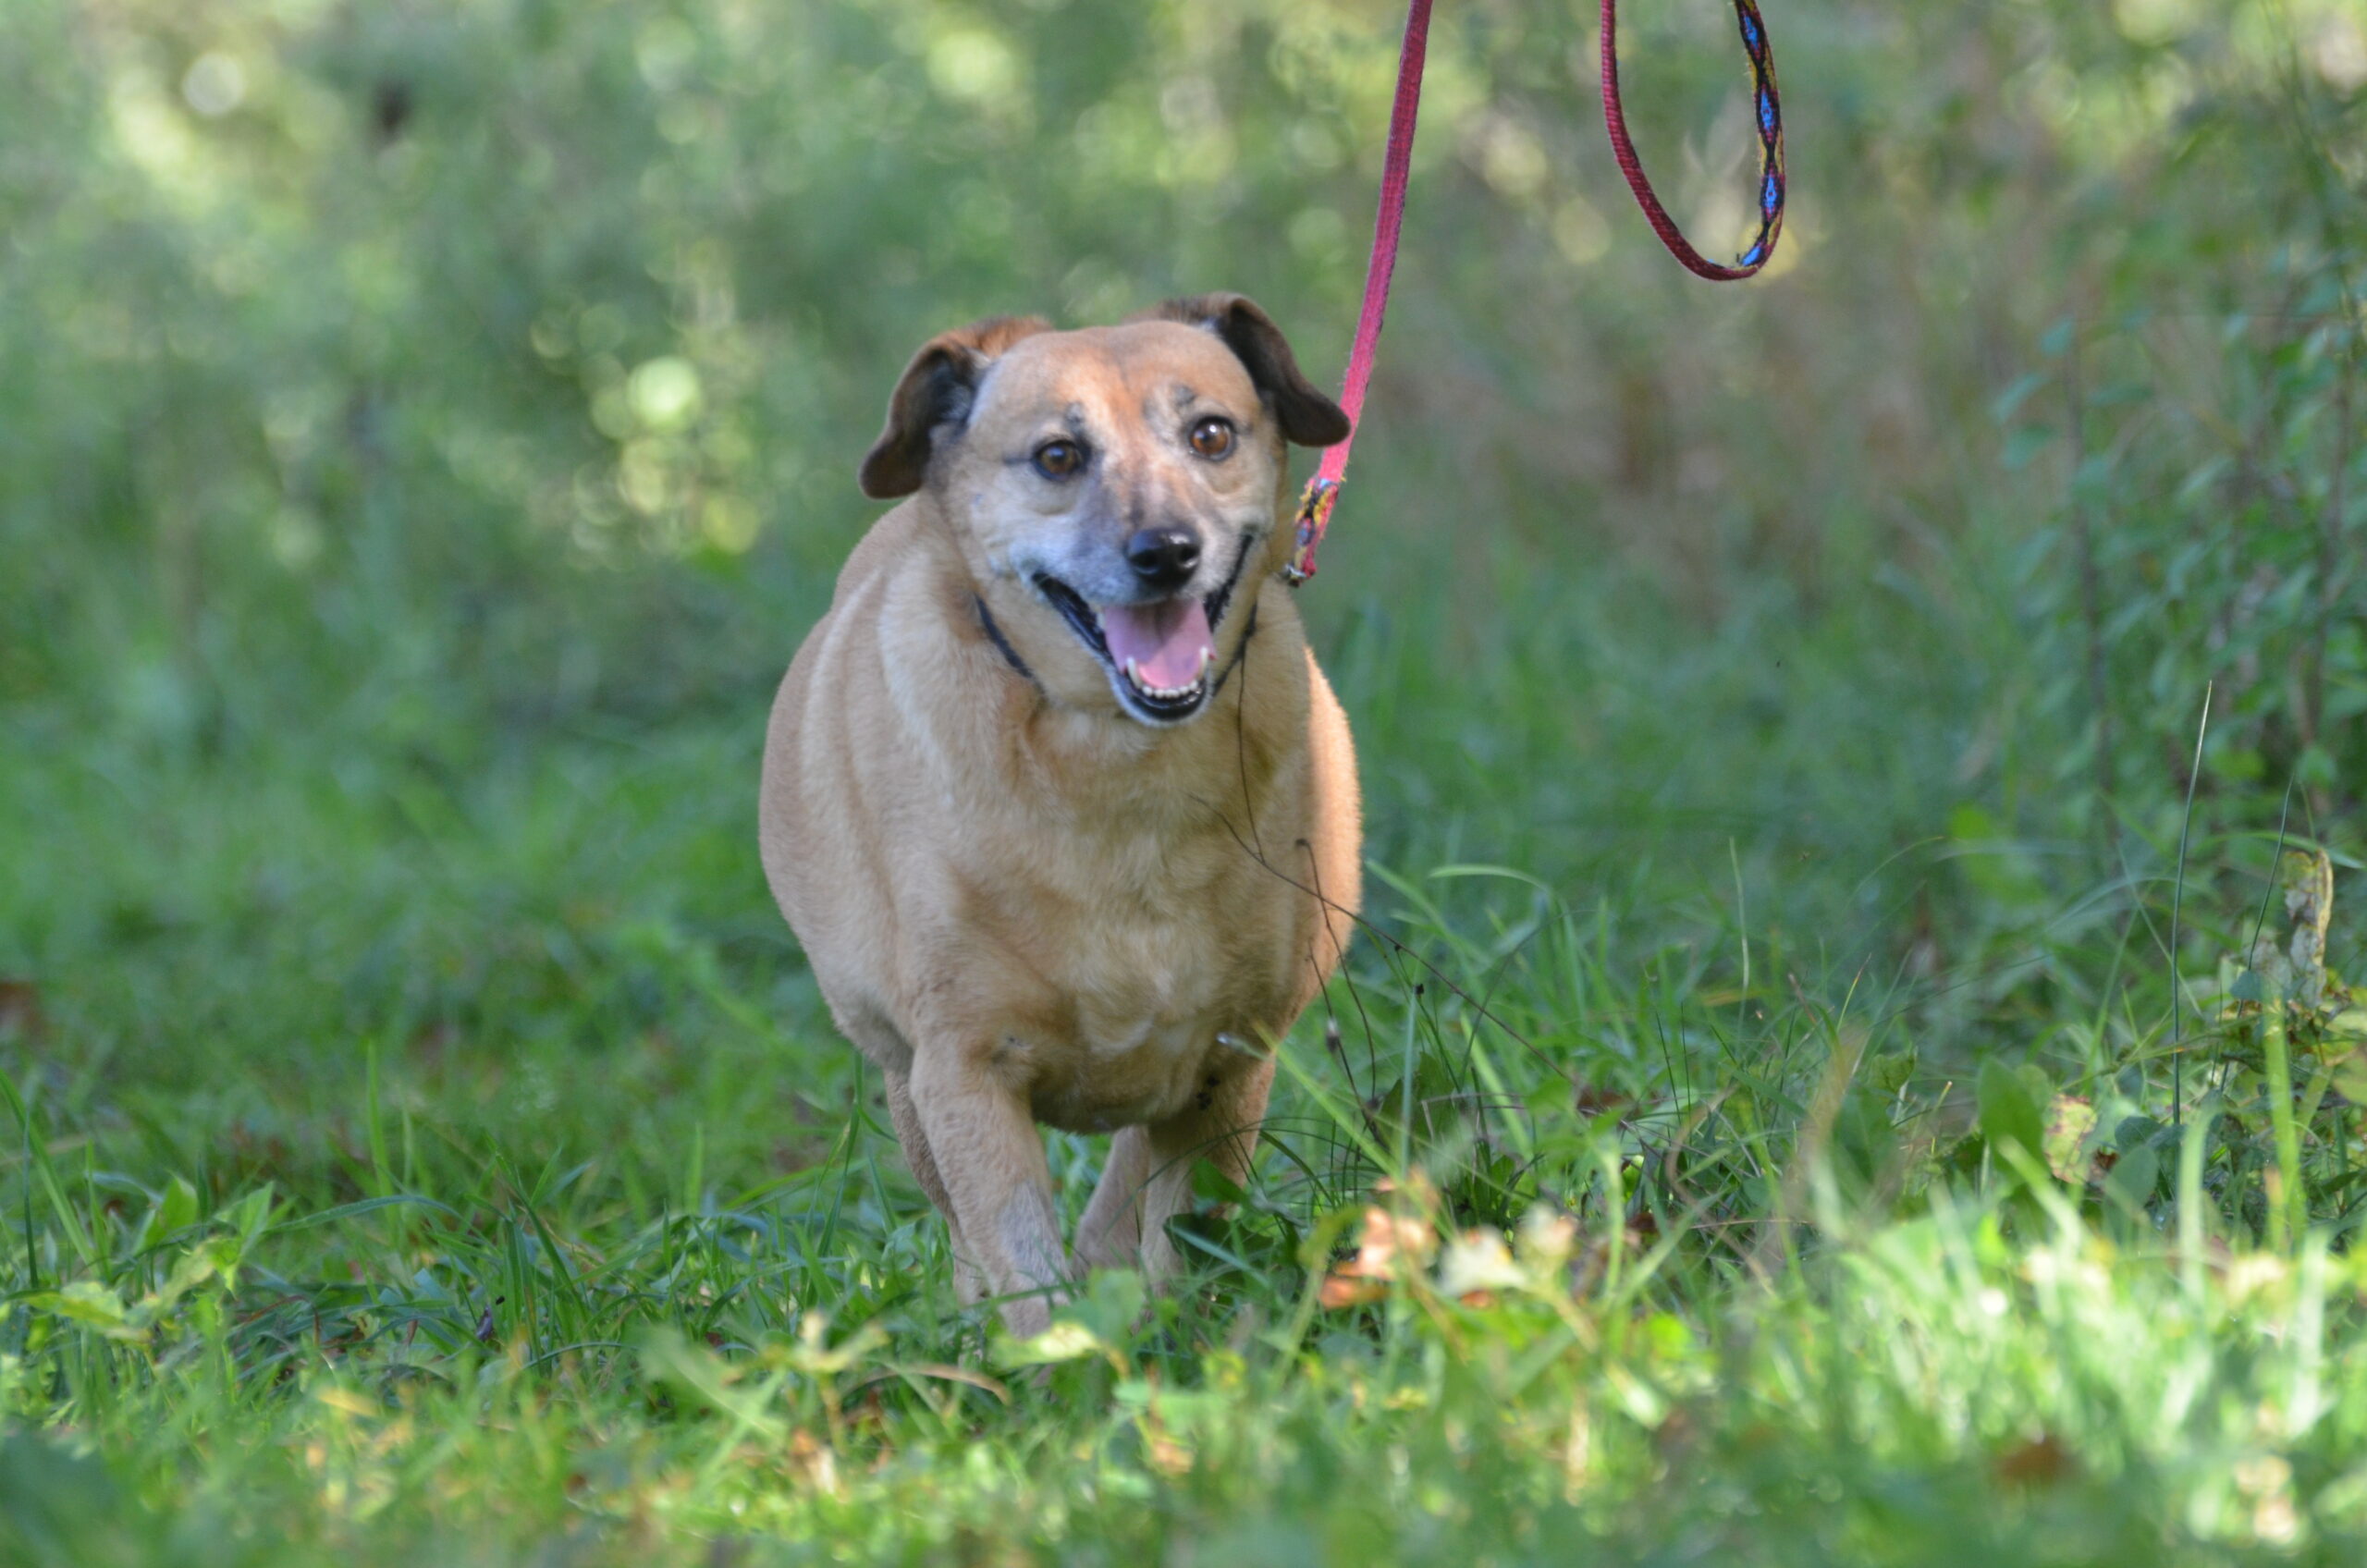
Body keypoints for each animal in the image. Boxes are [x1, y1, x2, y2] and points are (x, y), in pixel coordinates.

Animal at [759, 295, 1361, 1334]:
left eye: (1211, 434)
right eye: (1056, 456)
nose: (1166, 553)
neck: (1119, 761)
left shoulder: (1231, 1062)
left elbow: (1177, 1232)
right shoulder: (962, 1075)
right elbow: (1025, 1273)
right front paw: (1063, 1367)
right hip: (902, 1074)